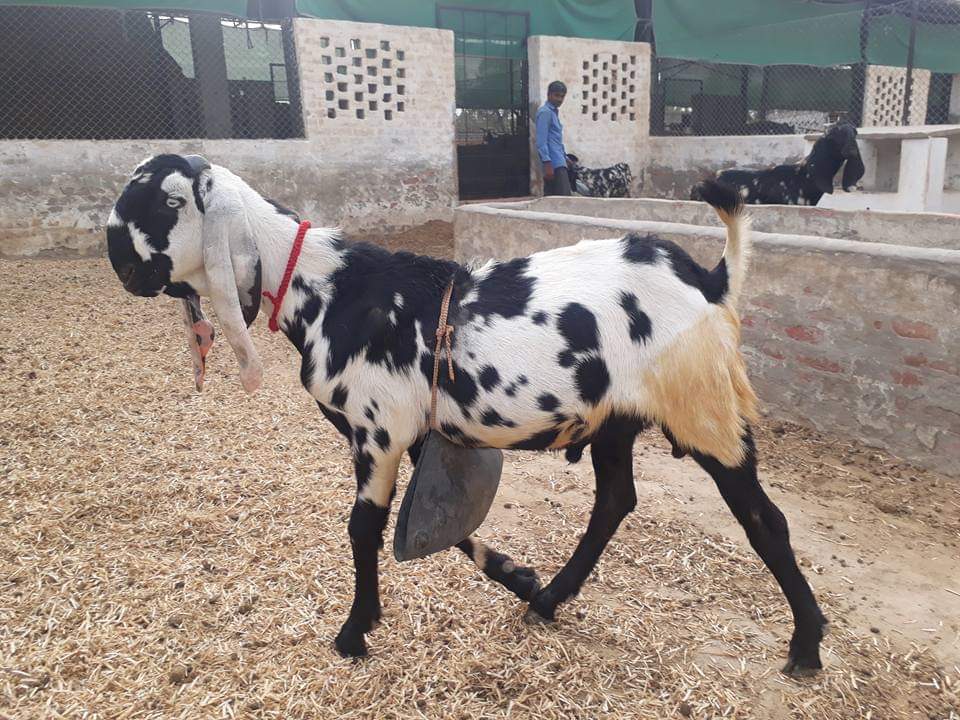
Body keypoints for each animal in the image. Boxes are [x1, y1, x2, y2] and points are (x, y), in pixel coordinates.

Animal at [106, 154, 828, 675]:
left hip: (706, 411)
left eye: (160, 202)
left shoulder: (377, 430)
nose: (117, 261)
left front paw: (354, 633)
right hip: (619, 418)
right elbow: (438, 520)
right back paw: (549, 599)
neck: (330, 290)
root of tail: (709, 280)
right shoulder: (414, 431)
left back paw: (806, 646)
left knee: (764, 521)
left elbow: (365, 528)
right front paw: (518, 577)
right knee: (615, 500)